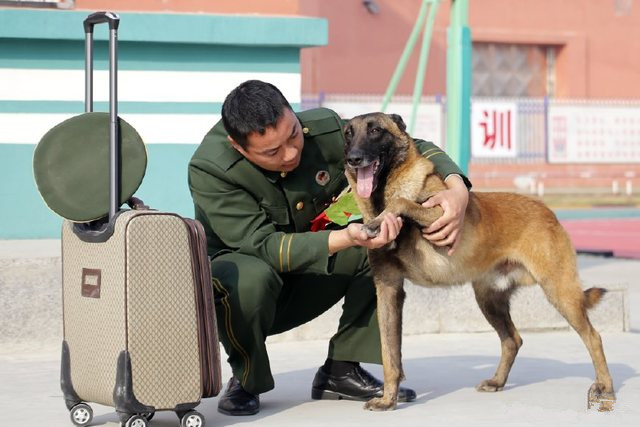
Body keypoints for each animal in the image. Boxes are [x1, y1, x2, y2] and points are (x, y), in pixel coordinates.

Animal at [342, 112, 616, 412]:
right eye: (348, 134)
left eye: (376, 131)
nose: (353, 158)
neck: (383, 194)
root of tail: (548, 212)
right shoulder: (388, 289)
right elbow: (390, 354)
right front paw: (388, 399)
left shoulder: (439, 214)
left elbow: (402, 202)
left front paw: (380, 221)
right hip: (489, 299)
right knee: (512, 340)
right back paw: (497, 381)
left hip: (560, 292)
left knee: (593, 337)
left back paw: (606, 388)